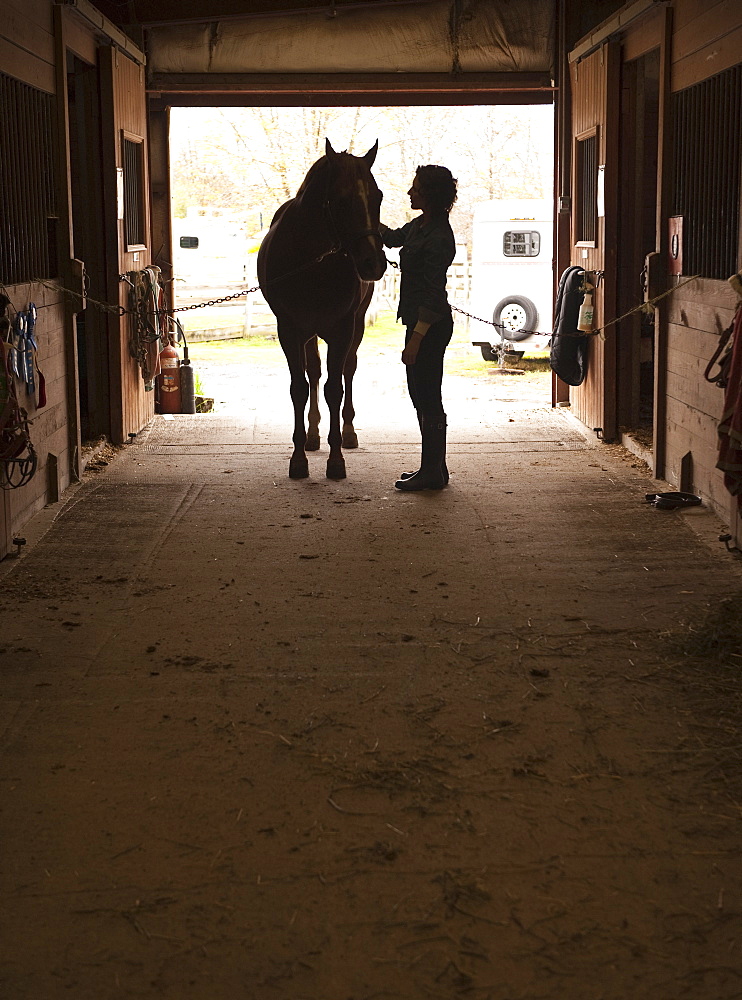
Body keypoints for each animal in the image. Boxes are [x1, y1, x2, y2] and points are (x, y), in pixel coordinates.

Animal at [258, 139, 386, 478]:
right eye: (340, 200)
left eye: (377, 197)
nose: (373, 263)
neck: (313, 263)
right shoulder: (290, 331)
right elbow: (300, 388)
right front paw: (298, 458)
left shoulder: (342, 331)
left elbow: (335, 389)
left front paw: (336, 459)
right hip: (310, 333)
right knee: (313, 372)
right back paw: (313, 436)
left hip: (355, 326)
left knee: (348, 370)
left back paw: (348, 433)